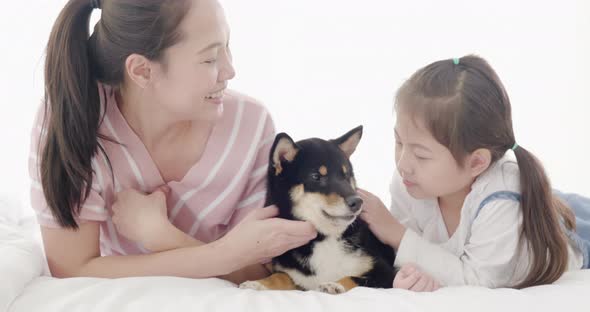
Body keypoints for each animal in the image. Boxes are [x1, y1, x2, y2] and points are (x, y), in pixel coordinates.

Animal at [239, 125, 398, 294]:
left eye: (346, 175)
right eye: (316, 177)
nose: (357, 201)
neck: (324, 238)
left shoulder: (387, 274)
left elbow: (353, 278)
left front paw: (334, 285)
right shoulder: (296, 275)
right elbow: (279, 276)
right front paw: (257, 284)